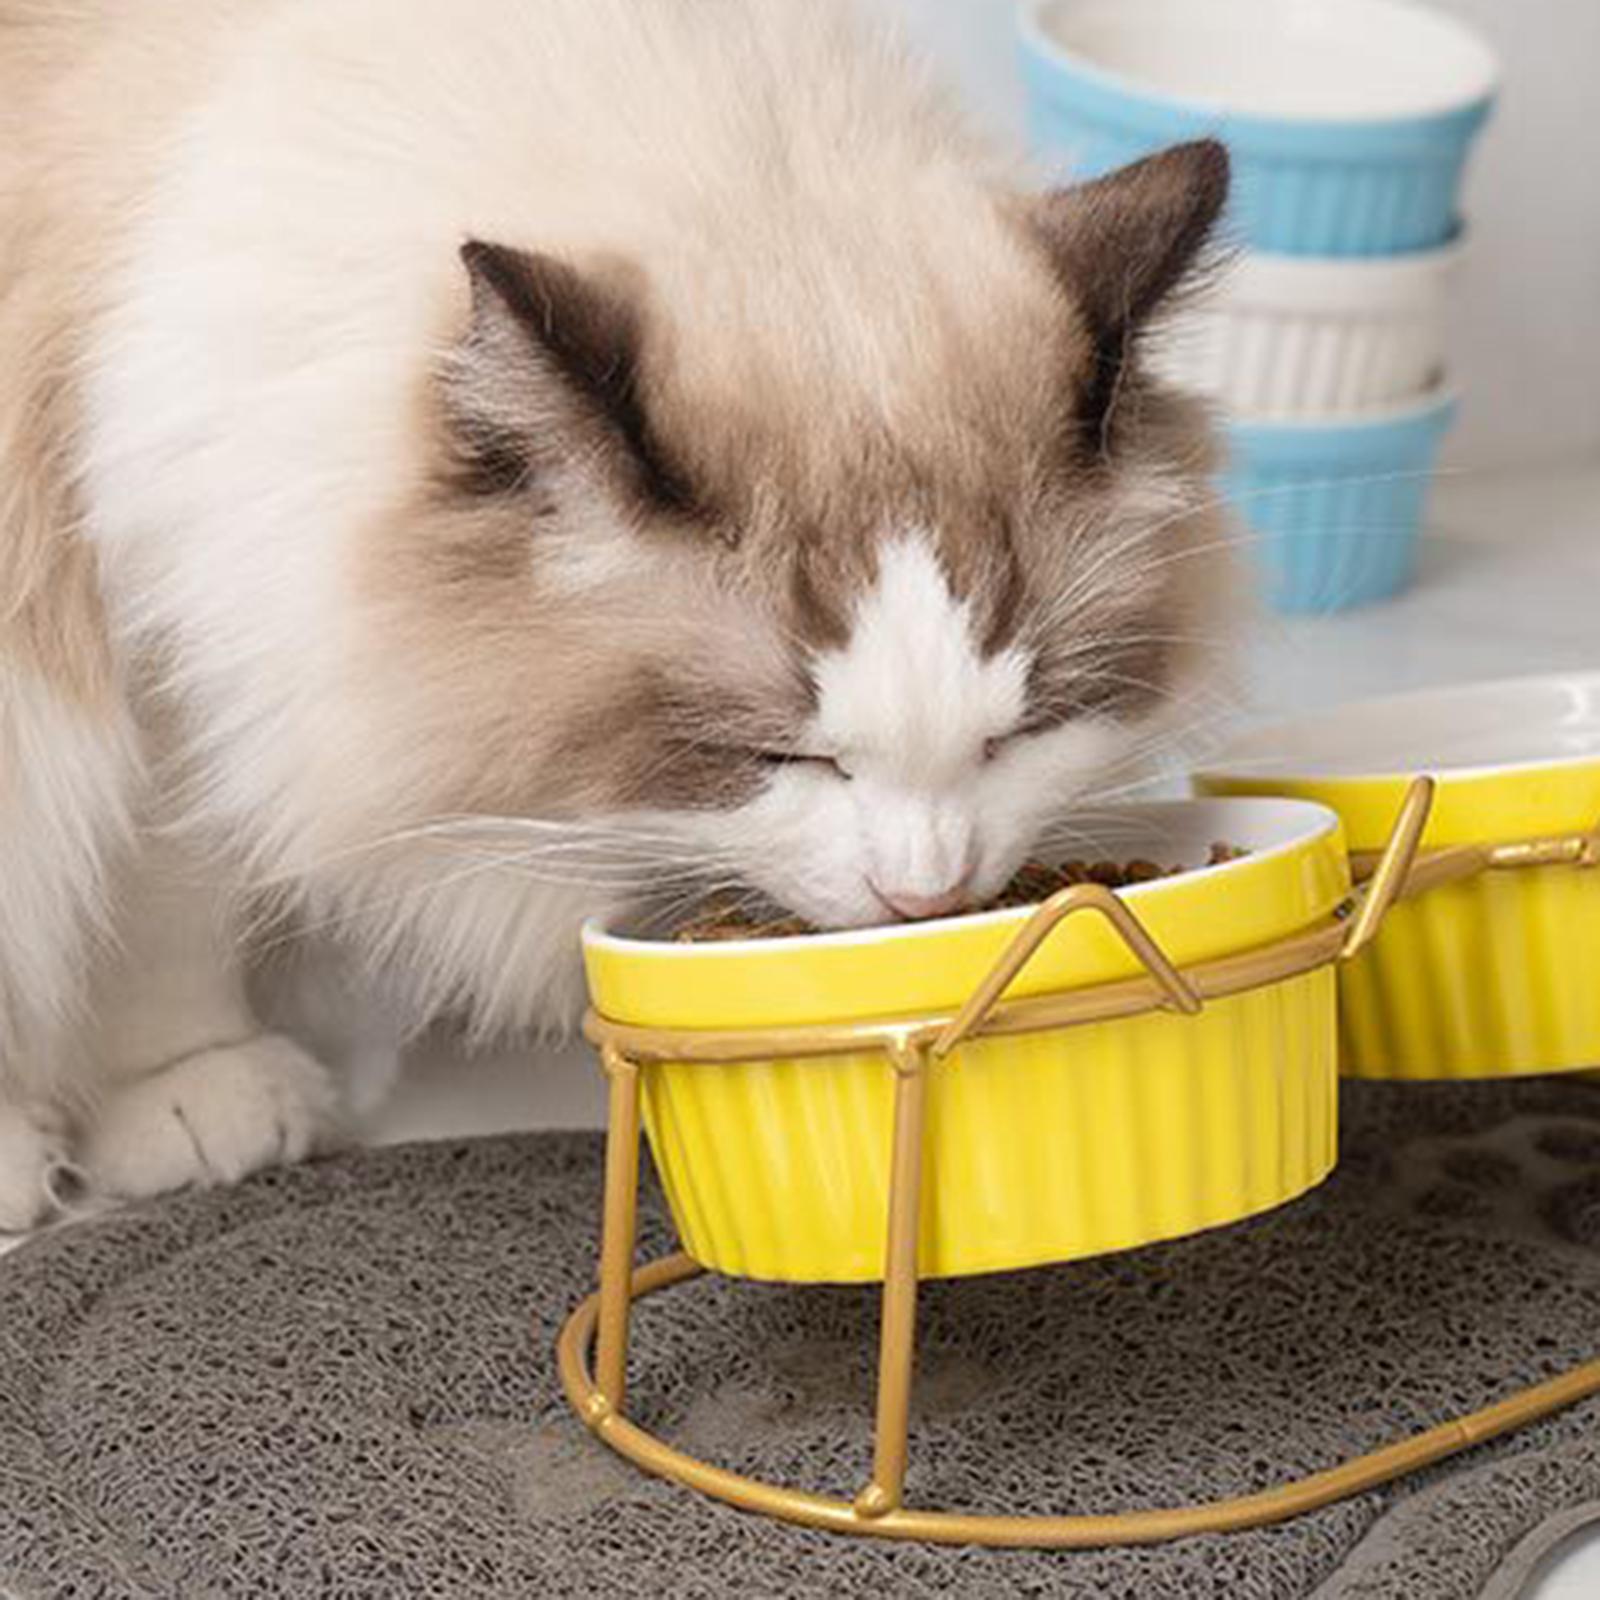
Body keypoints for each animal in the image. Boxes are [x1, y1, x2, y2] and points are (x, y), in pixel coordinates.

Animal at [0, 0, 1235, 1228]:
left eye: (1018, 736)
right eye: (775, 755)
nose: (925, 894)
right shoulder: (152, 632)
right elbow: (160, 909)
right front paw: (192, 1094)